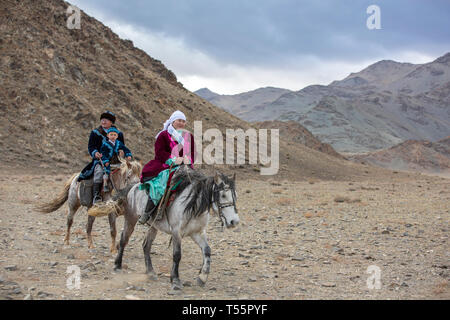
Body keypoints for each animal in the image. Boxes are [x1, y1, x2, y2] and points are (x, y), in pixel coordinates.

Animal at [87, 166, 239, 292]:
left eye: (235, 196)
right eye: (223, 195)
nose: (234, 221)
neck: (192, 205)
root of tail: (132, 187)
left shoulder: (198, 233)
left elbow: (207, 251)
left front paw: (202, 277)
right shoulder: (177, 232)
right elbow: (177, 255)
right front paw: (176, 280)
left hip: (153, 226)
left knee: (146, 245)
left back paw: (150, 272)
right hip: (131, 219)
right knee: (124, 240)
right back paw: (117, 265)